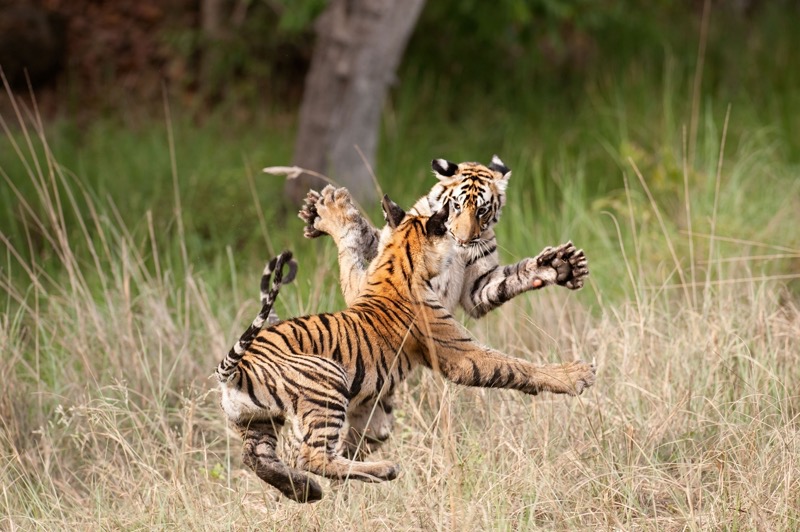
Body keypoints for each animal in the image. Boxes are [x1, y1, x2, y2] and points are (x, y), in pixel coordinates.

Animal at [217, 195, 596, 503]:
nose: (465, 243)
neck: (397, 260)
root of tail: (235, 370)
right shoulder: (459, 354)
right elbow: (514, 365)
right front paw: (576, 375)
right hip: (326, 379)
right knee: (310, 455)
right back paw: (382, 470)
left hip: (257, 422)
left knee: (259, 458)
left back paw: (304, 491)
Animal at [297, 156, 589, 455]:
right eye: (457, 205)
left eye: (483, 210)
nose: (462, 239)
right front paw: (327, 211)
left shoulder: (479, 287)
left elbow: (508, 282)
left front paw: (559, 266)